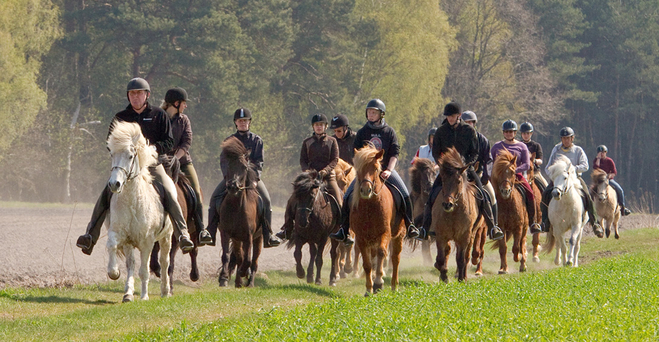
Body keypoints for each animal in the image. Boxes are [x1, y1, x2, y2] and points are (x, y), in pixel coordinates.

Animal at [105, 121, 173, 302]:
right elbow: (112, 246)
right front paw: (114, 273)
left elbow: (144, 271)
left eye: (130, 156)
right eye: (112, 154)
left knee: (165, 262)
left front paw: (144, 297)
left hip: (167, 237)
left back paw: (166, 291)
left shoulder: (147, 242)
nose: (114, 184)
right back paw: (128, 293)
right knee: (131, 264)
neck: (132, 202)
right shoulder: (122, 235)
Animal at [214, 138, 260, 288]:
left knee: (254, 261)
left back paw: (250, 282)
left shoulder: (249, 236)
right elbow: (227, 256)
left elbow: (248, 259)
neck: (236, 207)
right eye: (226, 164)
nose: (233, 186)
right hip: (236, 239)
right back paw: (239, 282)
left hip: (258, 238)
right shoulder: (226, 233)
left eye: (244, 167)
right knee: (238, 257)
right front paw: (223, 279)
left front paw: (244, 273)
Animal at [348, 143, 404, 296]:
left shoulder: (385, 233)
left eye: (375, 168)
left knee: (395, 259)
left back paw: (394, 285)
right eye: (358, 168)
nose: (365, 190)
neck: (370, 206)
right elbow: (367, 264)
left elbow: (382, 253)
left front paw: (379, 282)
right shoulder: (361, 237)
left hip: (399, 235)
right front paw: (369, 288)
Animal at [434, 148, 484, 282]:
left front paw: (461, 279)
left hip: (471, 234)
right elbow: (441, 259)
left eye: (458, 181)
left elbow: (461, 259)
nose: (447, 204)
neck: (454, 213)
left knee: (465, 256)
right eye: (443, 180)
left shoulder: (464, 236)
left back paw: (464, 275)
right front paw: (444, 276)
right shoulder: (441, 235)